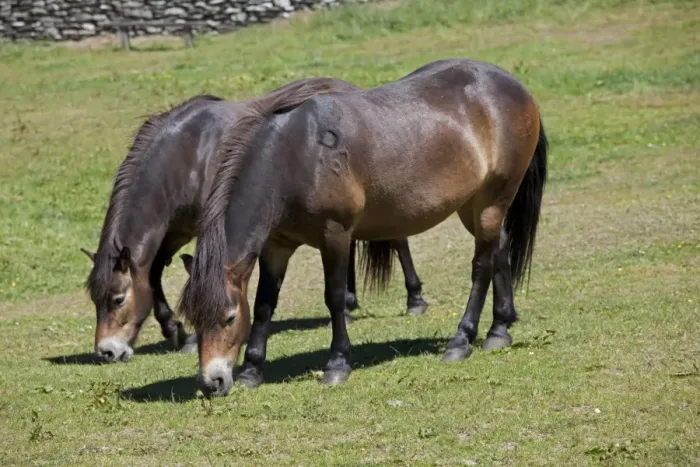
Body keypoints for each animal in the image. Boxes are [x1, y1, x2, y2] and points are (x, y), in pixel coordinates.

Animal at [81, 77, 429, 363]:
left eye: (117, 300)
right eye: (96, 301)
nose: (106, 352)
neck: (186, 156)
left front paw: (181, 332)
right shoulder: (176, 231)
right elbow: (153, 273)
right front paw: (177, 331)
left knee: (398, 238)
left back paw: (414, 299)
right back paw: (350, 300)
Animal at [179, 58, 548, 397]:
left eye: (228, 318)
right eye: (193, 320)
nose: (211, 383)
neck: (294, 157)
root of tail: (513, 86)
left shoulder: (335, 235)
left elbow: (334, 298)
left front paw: (337, 364)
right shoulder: (276, 246)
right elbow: (264, 304)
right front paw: (251, 370)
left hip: (491, 201)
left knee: (482, 266)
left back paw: (462, 340)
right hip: (473, 206)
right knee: (500, 250)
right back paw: (499, 329)